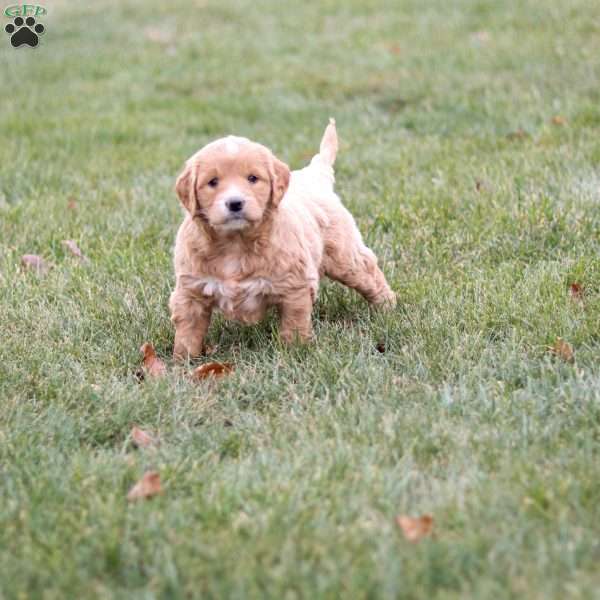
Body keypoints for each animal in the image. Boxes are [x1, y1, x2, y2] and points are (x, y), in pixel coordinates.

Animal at [170, 119, 394, 358]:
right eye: (212, 182)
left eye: (253, 178)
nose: (235, 203)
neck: (235, 243)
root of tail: (313, 175)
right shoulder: (190, 289)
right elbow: (188, 330)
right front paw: (183, 360)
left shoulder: (293, 285)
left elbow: (293, 324)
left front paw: (294, 353)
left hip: (344, 255)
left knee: (368, 271)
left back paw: (387, 306)